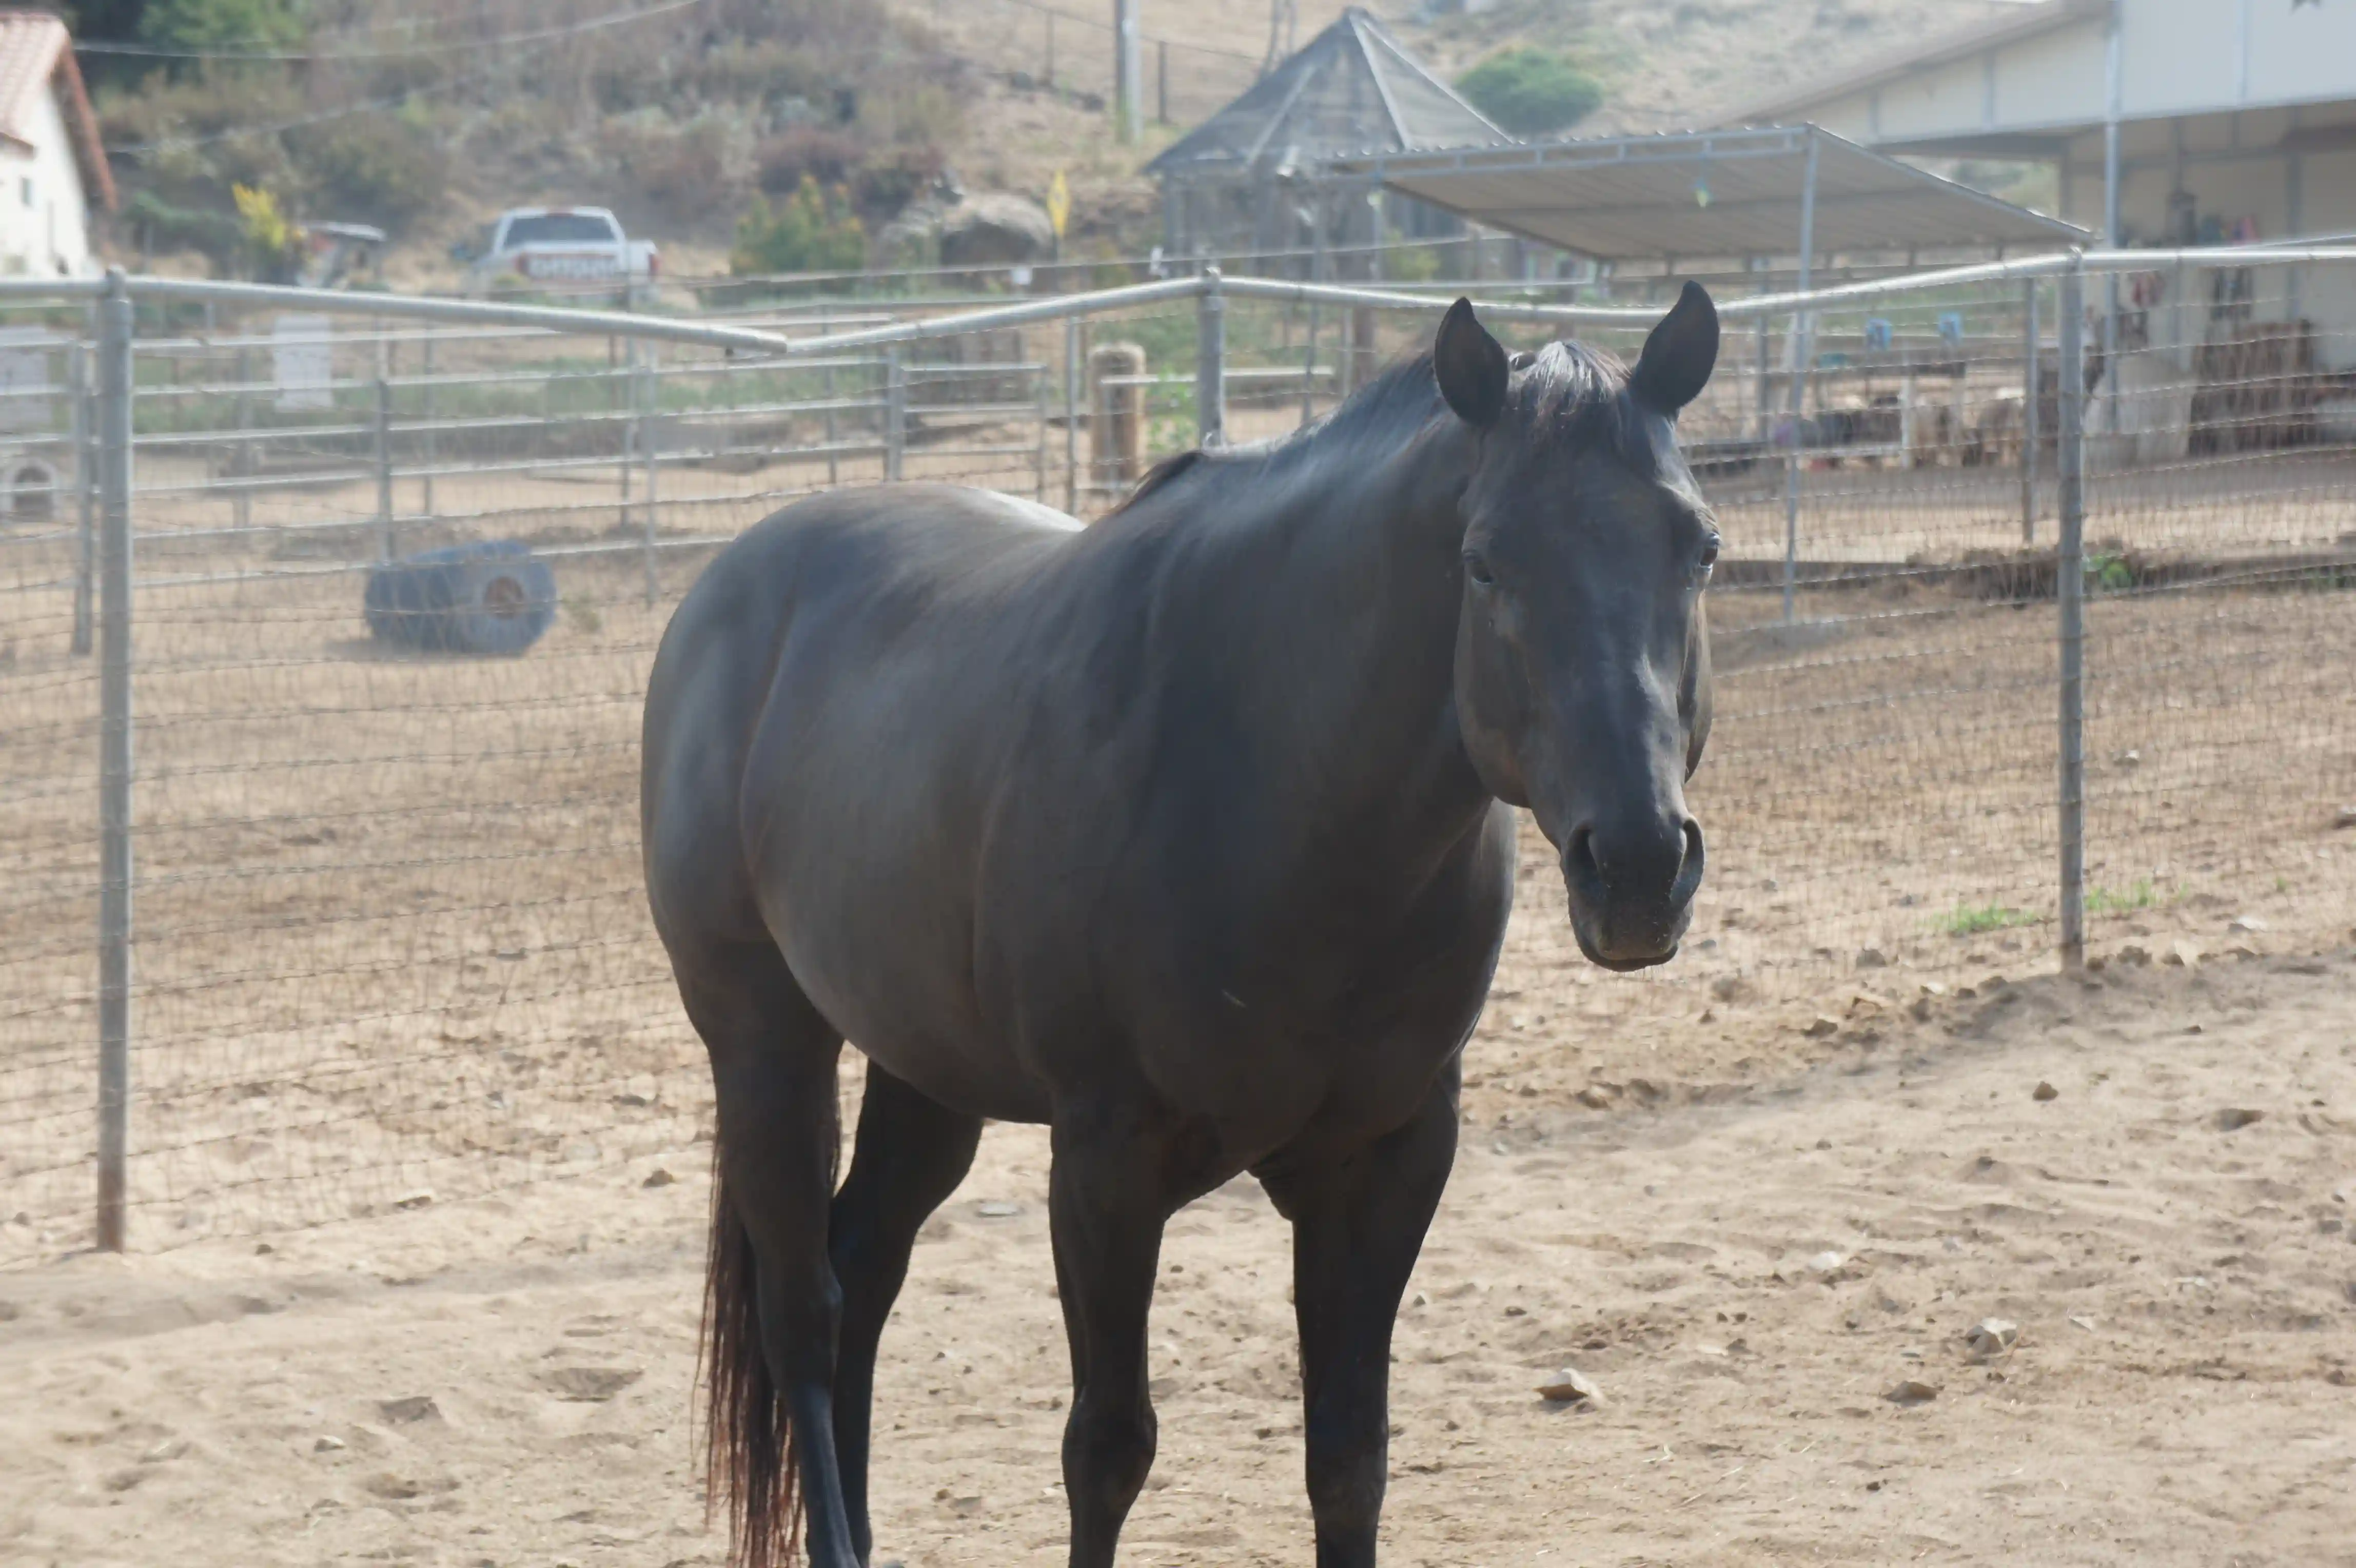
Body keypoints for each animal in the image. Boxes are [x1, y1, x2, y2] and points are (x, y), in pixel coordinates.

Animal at [636, 287, 1724, 1554]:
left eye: (1699, 547)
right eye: (1484, 563)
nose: (1638, 864)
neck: (1278, 792)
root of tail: (731, 584)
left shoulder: (1389, 1159)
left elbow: (1349, 1456)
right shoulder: (1105, 1163)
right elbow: (1107, 1449)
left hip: (925, 1065)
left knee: (864, 1268)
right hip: (763, 1037)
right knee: (804, 1313)